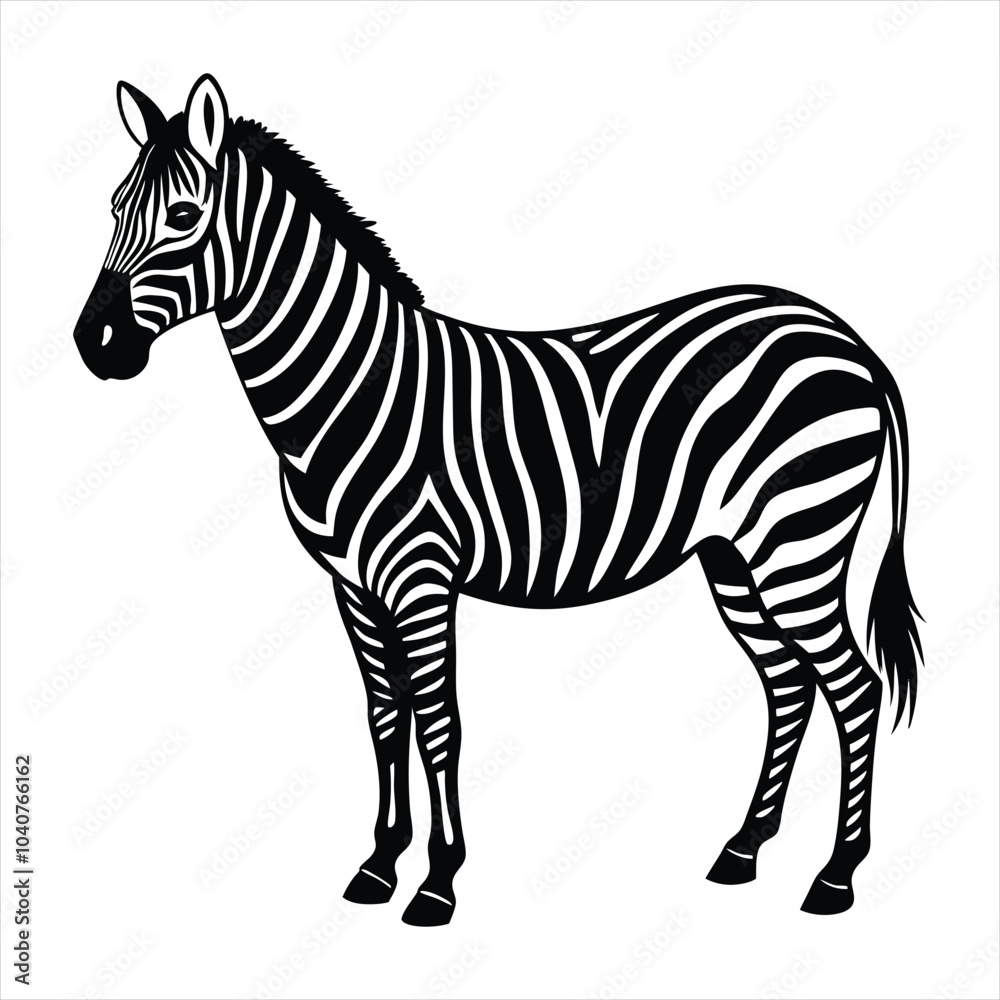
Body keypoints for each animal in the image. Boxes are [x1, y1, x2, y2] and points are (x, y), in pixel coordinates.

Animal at [73, 75, 923, 926]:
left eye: (184, 217)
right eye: (112, 208)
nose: (92, 344)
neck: (350, 395)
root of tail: (842, 335)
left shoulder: (420, 576)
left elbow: (439, 722)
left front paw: (437, 884)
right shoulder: (353, 587)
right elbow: (385, 719)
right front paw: (378, 866)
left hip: (798, 542)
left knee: (854, 688)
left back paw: (836, 877)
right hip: (736, 558)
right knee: (788, 684)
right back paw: (743, 850)